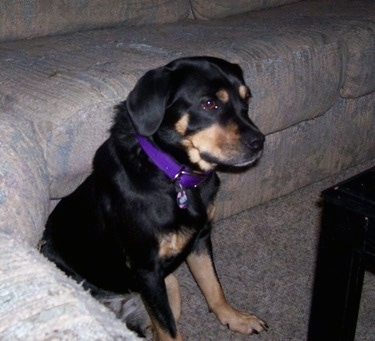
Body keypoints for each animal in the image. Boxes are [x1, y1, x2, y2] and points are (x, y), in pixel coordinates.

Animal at [41, 57, 268, 338]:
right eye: (209, 104)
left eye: (247, 100)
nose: (259, 142)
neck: (175, 176)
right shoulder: (146, 268)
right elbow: (171, 332)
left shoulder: (200, 238)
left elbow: (214, 288)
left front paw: (235, 319)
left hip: (170, 286)